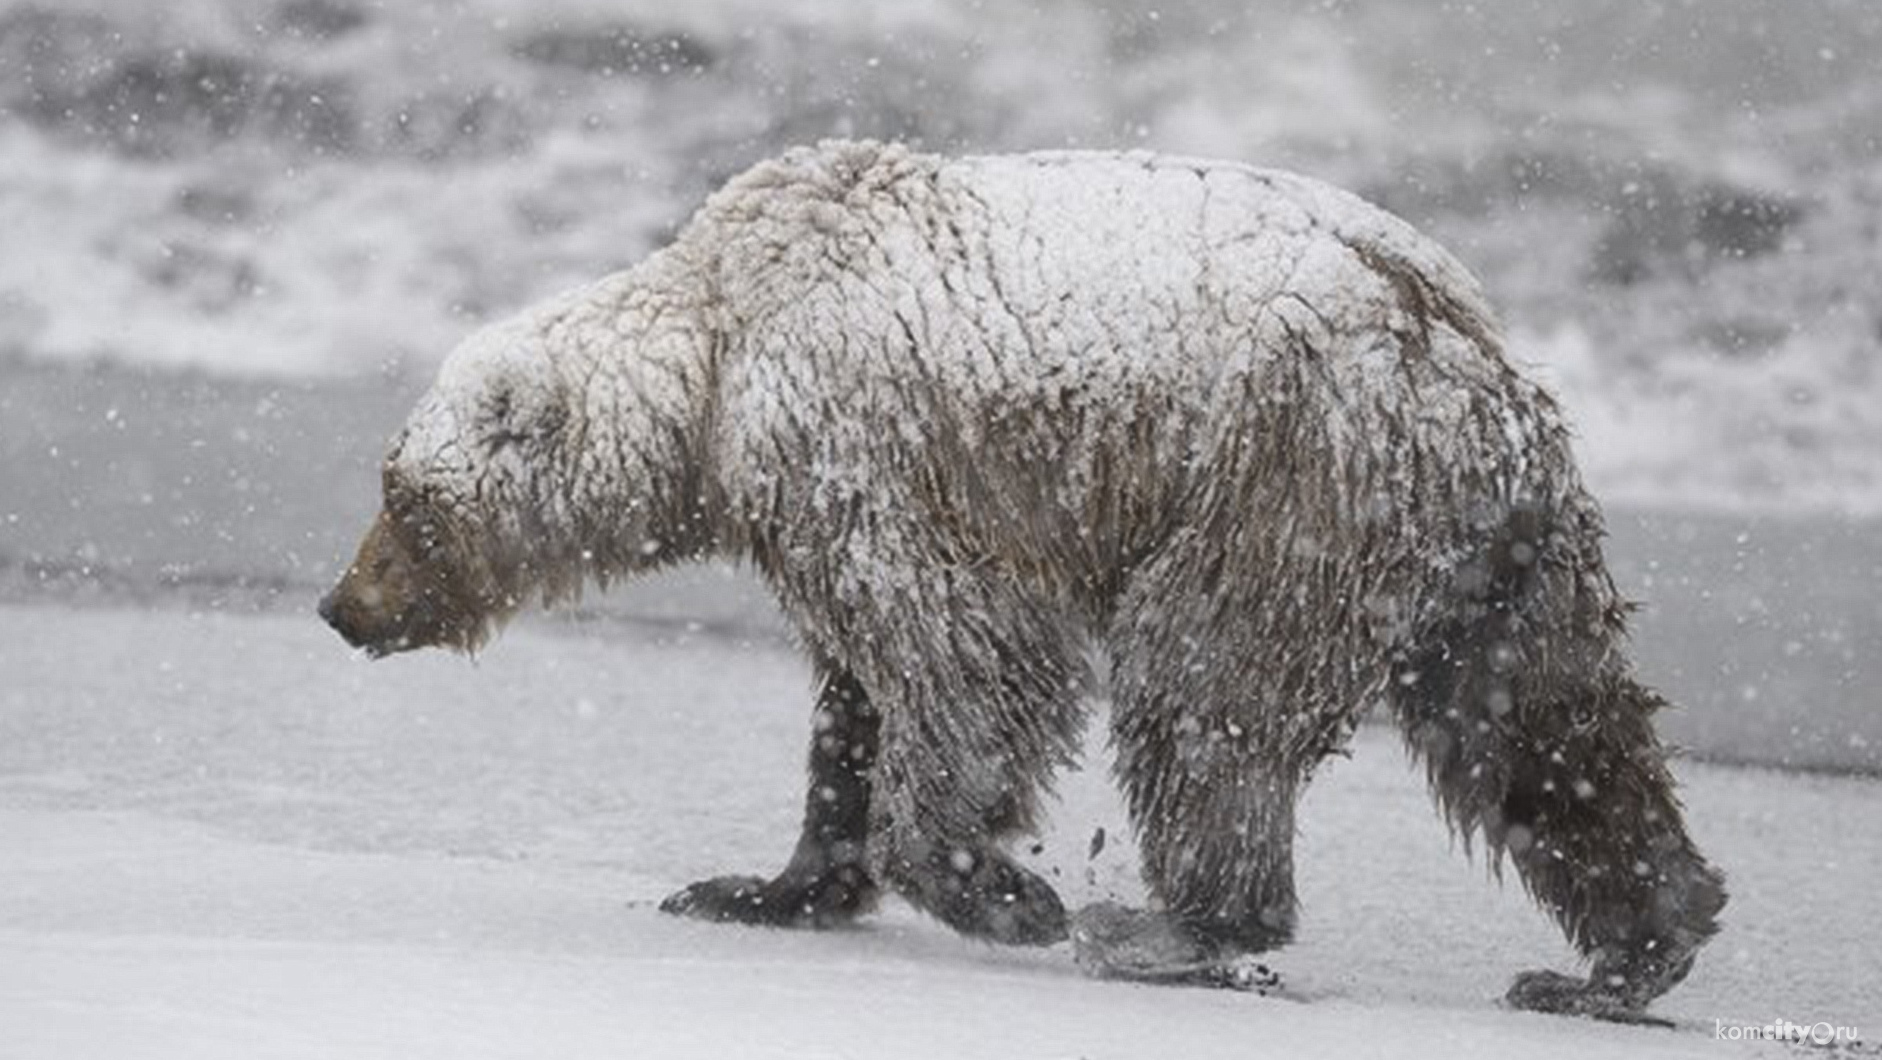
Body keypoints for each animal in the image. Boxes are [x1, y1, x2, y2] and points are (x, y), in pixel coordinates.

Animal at [319, 139, 1723, 1016]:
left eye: (406, 502)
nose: (342, 606)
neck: (715, 371)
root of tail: (1473, 360)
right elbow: (854, 698)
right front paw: (758, 884)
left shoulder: (862, 444)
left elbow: (962, 652)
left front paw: (1008, 889)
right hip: (1492, 549)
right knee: (1545, 724)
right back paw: (1628, 950)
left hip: (1287, 475)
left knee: (1200, 688)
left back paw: (1171, 924)